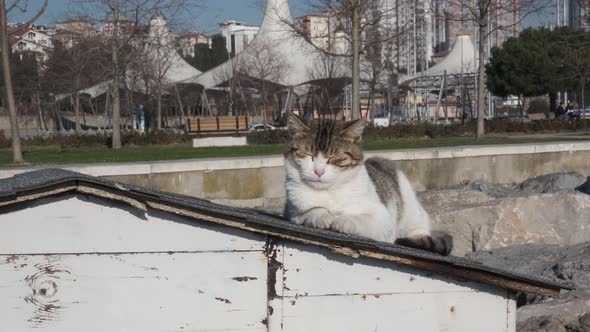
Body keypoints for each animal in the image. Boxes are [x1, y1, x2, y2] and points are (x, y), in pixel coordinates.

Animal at [284, 112, 456, 256]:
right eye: (308, 155)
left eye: (334, 158)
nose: (318, 171)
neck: (330, 191)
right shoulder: (292, 211)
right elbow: (310, 210)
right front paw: (322, 215)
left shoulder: (382, 219)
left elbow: (360, 219)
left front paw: (344, 220)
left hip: (411, 211)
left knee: (418, 230)